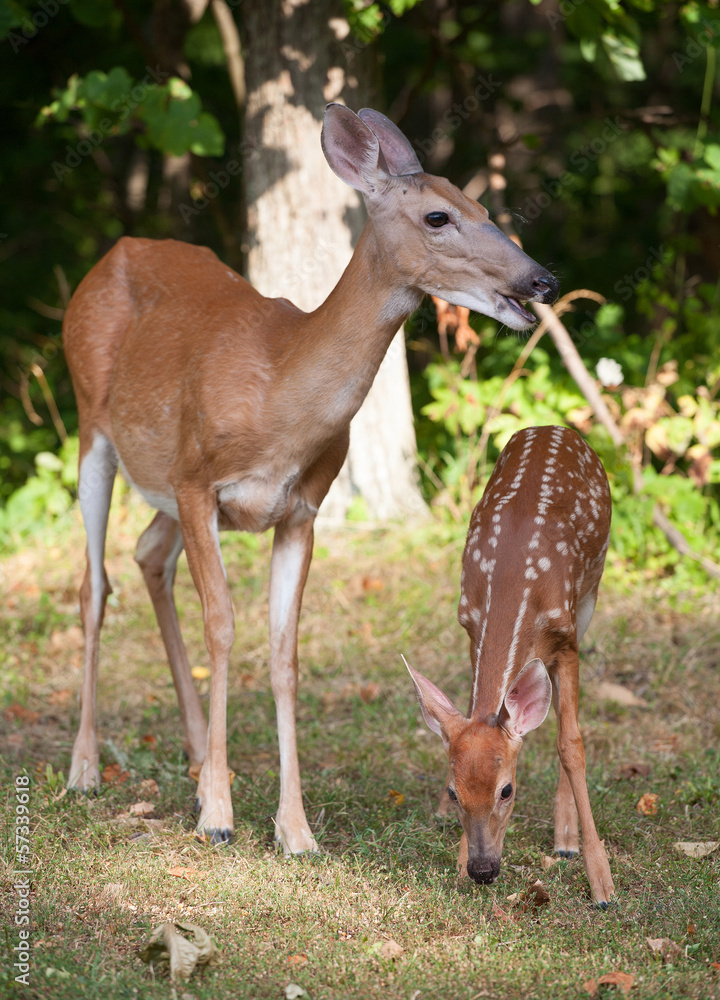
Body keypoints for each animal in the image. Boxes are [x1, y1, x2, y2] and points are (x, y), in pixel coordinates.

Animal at [62, 103, 559, 853]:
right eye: (439, 216)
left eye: (483, 205)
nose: (540, 280)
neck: (280, 394)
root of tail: (108, 254)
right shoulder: (197, 481)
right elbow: (223, 628)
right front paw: (219, 819)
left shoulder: (301, 509)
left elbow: (283, 654)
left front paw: (292, 829)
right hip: (94, 426)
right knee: (94, 585)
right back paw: (86, 769)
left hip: (160, 485)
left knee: (147, 554)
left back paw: (196, 761)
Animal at [406, 425, 615, 907]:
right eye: (455, 791)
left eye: (508, 790)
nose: (483, 870)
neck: (511, 587)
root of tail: (553, 427)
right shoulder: (470, 624)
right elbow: (470, 710)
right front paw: (458, 856)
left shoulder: (566, 636)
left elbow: (571, 743)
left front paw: (601, 880)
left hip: (590, 590)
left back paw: (566, 839)